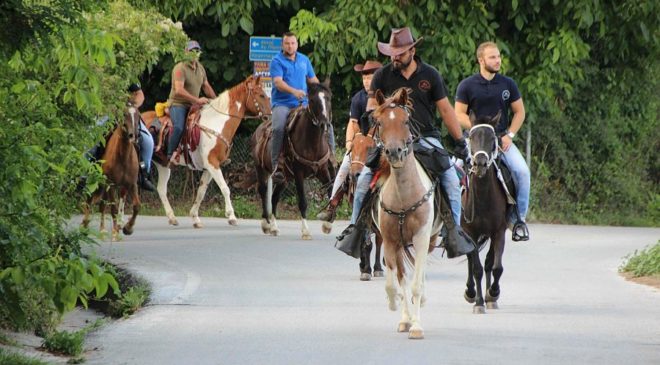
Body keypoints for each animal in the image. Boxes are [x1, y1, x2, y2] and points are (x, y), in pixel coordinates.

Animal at [82, 106, 141, 242]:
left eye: (139, 116)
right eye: (124, 114)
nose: (133, 136)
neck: (123, 157)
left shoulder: (132, 184)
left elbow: (136, 206)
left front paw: (127, 228)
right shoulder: (111, 184)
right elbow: (113, 208)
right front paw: (115, 233)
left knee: (104, 205)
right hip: (98, 184)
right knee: (92, 202)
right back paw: (89, 227)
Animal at [143, 75, 270, 226]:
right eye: (261, 95)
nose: (270, 115)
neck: (217, 123)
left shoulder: (210, 167)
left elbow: (201, 192)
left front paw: (195, 217)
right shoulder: (212, 163)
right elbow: (225, 188)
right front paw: (231, 216)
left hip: (163, 165)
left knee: (161, 189)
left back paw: (172, 217)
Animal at [251, 80, 338, 239]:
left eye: (328, 98)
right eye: (312, 100)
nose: (324, 124)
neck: (312, 142)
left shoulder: (323, 171)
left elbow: (331, 194)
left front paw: (328, 224)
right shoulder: (299, 173)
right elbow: (302, 201)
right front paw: (306, 231)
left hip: (284, 178)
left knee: (274, 197)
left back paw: (274, 227)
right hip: (260, 169)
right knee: (263, 191)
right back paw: (266, 224)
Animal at [372, 89, 444, 338]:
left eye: (405, 121)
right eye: (380, 122)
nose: (394, 153)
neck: (404, 197)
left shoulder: (421, 238)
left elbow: (415, 285)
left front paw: (417, 326)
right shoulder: (389, 241)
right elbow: (395, 283)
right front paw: (397, 308)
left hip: (430, 240)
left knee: (419, 277)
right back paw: (405, 318)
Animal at [458, 111, 510, 312]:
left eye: (492, 139)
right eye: (471, 138)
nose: (480, 164)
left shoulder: (499, 231)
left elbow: (495, 266)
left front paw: (492, 294)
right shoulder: (470, 232)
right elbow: (476, 268)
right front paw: (479, 302)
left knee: (489, 262)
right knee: (471, 261)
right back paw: (471, 292)